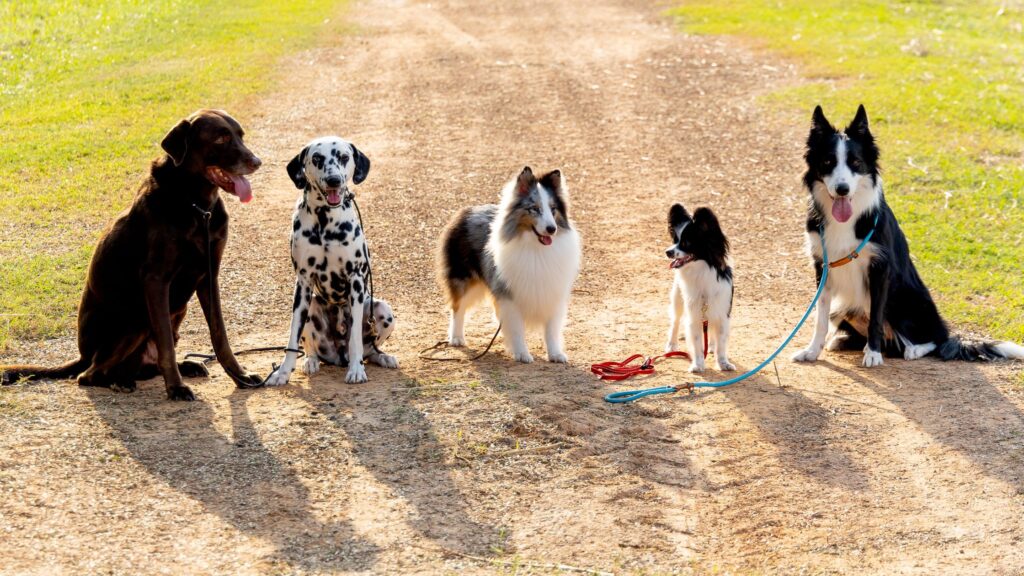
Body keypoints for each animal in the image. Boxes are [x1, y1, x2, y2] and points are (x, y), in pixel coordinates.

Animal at [2, 111, 264, 399]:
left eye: (240, 136)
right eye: (220, 138)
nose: (256, 162)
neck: (196, 206)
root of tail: (83, 356)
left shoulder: (209, 276)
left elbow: (220, 336)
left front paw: (240, 376)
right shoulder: (156, 281)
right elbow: (166, 346)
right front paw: (175, 388)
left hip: (174, 312)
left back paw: (184, 366)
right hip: (136, 317)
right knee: (89, 375)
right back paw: (120, 381)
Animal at [266, 135, 397, 385]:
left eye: (344, 157)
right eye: (317, 158)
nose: (334, 180)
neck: (324, 220)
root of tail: (338, 356)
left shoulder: (355, 279)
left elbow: (355, 338)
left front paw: (356, 370)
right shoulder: (303, 283)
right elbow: (292, 338)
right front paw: (283, 372)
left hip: (382, 309)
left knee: (370, 349)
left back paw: (381, 357)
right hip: (311, 306)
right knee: (310, 347)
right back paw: (311, 361)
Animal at [663, 203, 737, 368]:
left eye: (686, 243)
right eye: (675, 240)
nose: (667, 251)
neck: (701, 271)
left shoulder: (722, 313)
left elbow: (722, 342)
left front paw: (723, 363)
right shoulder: (695, 313)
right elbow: (696, 340)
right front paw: (698, 365)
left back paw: (711, 346)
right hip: (678, 298)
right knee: (675, 321)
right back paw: (671, 345)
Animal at [790, 105, 1024, 364]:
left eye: (856, 162)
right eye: (828, 161)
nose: (842, 189)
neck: (848, 220)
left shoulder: (881, 269)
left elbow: (875, 318)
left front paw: (873, 355)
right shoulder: (823, 266)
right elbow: (819, 318)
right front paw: (812, 351)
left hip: (903, 297)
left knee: (932, 340)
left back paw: (911, 349)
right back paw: (842, 341)